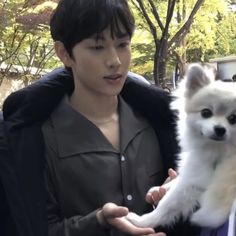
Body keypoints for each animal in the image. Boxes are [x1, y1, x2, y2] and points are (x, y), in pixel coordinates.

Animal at [127, 62, 236, 229]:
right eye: (206, 113)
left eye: (233, 118)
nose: (219, 129)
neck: (218, 150)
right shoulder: (192, 179)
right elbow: (167, 204)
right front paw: (143, 221)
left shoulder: (228, 173)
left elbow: (220, 192)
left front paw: (206, 216)